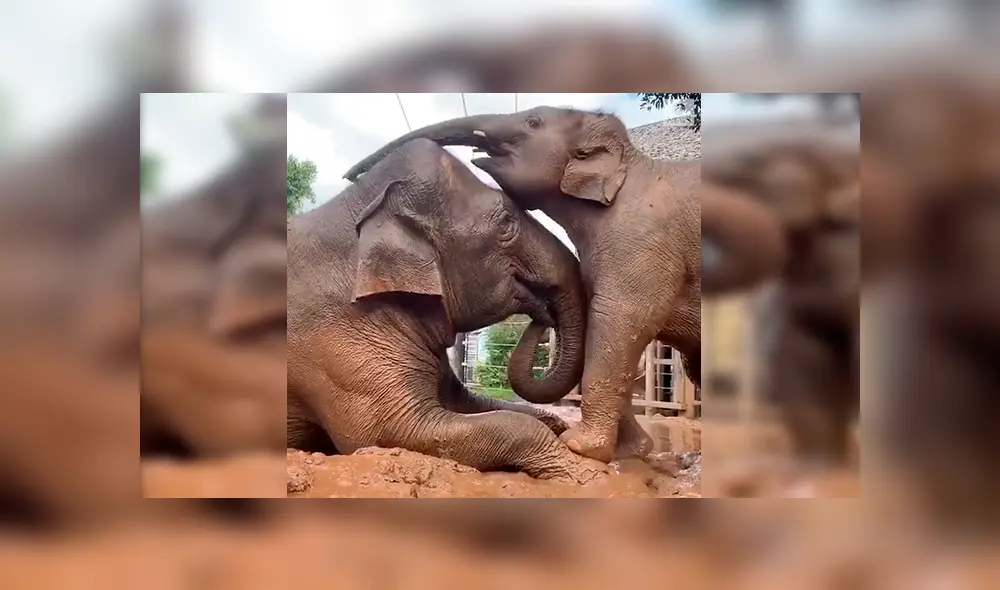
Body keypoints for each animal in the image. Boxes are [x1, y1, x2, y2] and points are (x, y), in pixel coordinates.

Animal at [287, 138, 608, 483]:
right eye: (507, 223)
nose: (542, 315)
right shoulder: (337, 341)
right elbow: (387, 431)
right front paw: (585, 476)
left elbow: (471, 402)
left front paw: (564, 432)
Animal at [342, 107, 701, 464]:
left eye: (533, 122)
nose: (350, 176)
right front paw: (631, 452)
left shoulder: (644, 241)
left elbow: (620, 319)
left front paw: (579, 446)